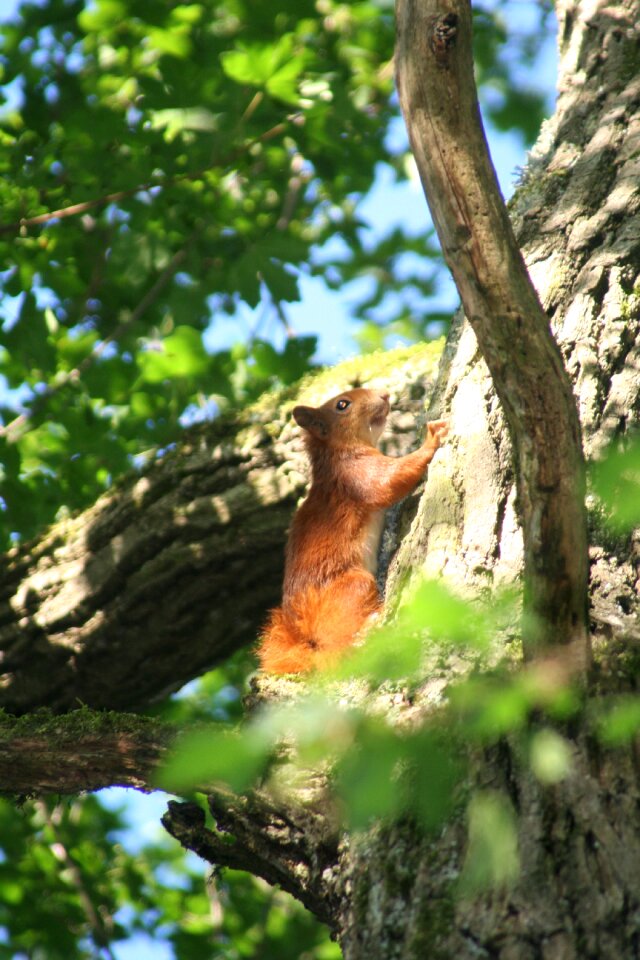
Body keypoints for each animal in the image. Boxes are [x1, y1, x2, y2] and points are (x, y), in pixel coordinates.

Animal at [258, 386, 448, 672]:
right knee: (338, 648)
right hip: (353, 586)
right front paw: (431, 440)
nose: (384, 394)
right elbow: (388, 481)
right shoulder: (354, 473)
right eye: (342, 405)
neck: (336, 451)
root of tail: (308, 634)